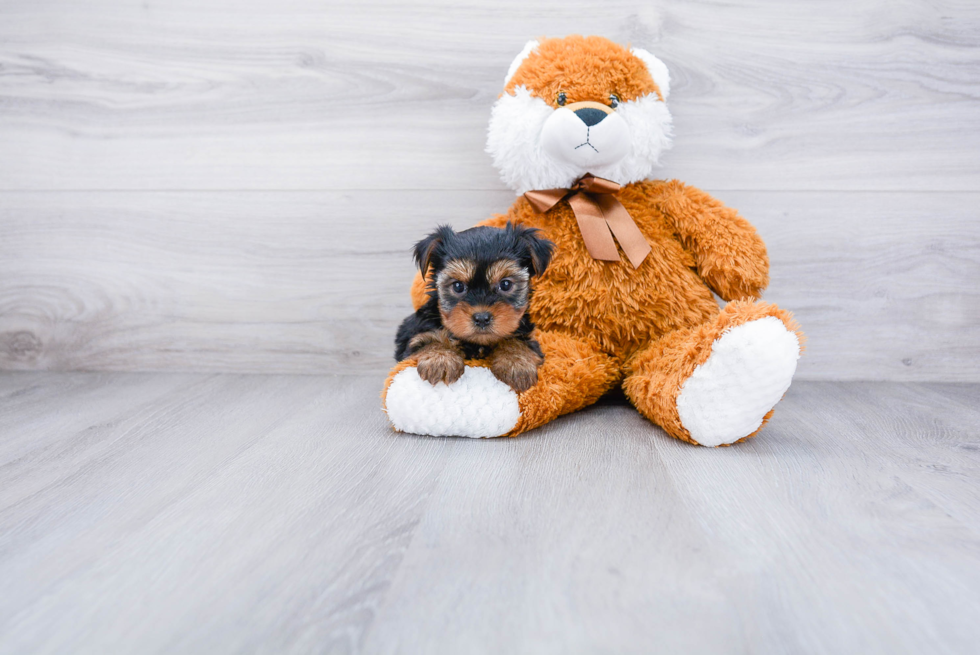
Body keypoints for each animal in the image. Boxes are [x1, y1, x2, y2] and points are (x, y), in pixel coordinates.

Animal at [394, 223, 556, 392]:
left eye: (505, 284)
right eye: (458, 286)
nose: (482, 318)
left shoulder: (525, 332)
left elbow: (518, 341)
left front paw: (516, 363)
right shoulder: (414, 333)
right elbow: (426, 339)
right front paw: (440, 361)